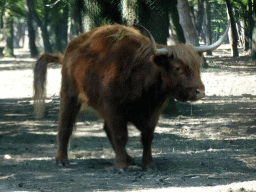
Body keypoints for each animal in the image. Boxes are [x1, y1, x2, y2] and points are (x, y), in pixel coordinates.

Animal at [33, 22, 228, 171]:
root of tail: (71, 48)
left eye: (198, 66)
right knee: (65, 125)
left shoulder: (153, 111)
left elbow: (147, 136)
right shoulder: (114, 108)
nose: (200, 91)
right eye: (177, 68)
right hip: (70, 94)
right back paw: (62, 160)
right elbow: (121, 135)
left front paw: (148, 164)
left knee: (105, 129)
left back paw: (128, 158)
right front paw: (120, 166)